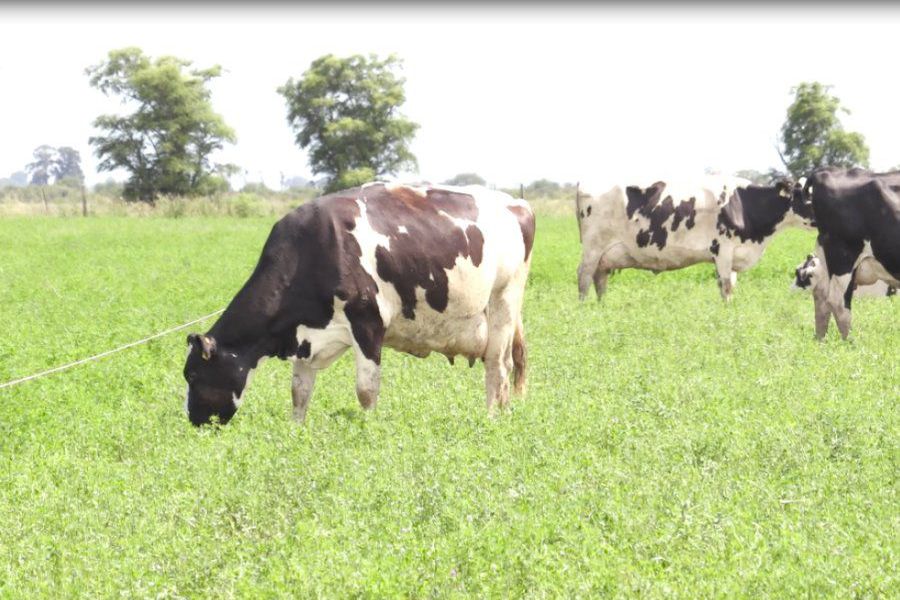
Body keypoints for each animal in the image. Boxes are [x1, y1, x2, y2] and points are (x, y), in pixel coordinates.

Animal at [184, 180, 536, 424]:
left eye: (193, 376)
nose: (194, 422)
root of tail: (516, 203)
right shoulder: (307, 338)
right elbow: (299, 391)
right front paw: (295, 431)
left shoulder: (367, 323)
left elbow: (366, 390)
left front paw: (368, 429)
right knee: (507, 364)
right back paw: (505, 412)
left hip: (503, 301)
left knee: (497, 367)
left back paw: (489, 419)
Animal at [576, 176, 816, 302]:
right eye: (805, 196)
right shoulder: (723, 250)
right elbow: (726, 287)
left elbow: (730, 285)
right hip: (592, 248)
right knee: (584, 277)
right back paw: (584, 309)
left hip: (605, 255)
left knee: (600, 279)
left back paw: (602, 307)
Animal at [800, 166, 900, 340]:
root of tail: (823, 172)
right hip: (843, 256)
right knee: (838, 302)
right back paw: (851, 343)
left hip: (827, 259)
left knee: (821, 299)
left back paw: (820, 341)